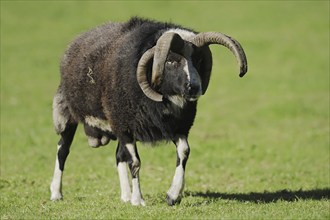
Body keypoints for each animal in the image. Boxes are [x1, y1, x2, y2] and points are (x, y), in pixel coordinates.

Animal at [51, 17, 248, 206]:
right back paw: (56, 194)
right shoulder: (126, 127)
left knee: (118, 156)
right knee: (62, 150)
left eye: (198, 60)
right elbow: (135, 162)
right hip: (69, 114)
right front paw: (138, 200)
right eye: (171, 61)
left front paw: (173, 196)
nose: (194, 88)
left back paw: (125, 196)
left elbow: (184, 152)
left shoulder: (177, 127)